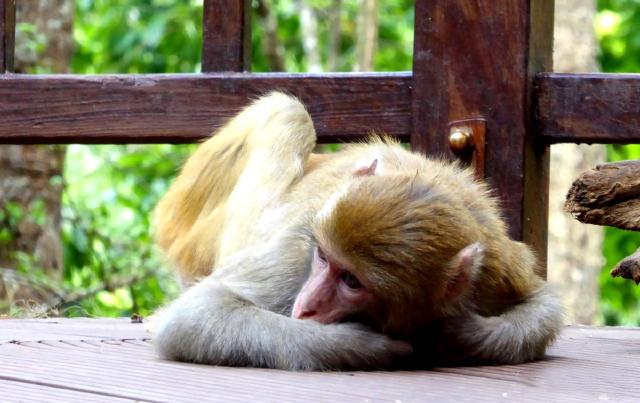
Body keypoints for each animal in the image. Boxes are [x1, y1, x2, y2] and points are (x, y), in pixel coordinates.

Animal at [151, 92, 563, 370]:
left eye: (352, 281)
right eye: (322, 257)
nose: (307, 304)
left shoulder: (496, 268)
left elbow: (543, 305)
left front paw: (458, 336)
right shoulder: (299, 247)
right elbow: (195, 316)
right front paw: (364, 345)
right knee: (287, 112)